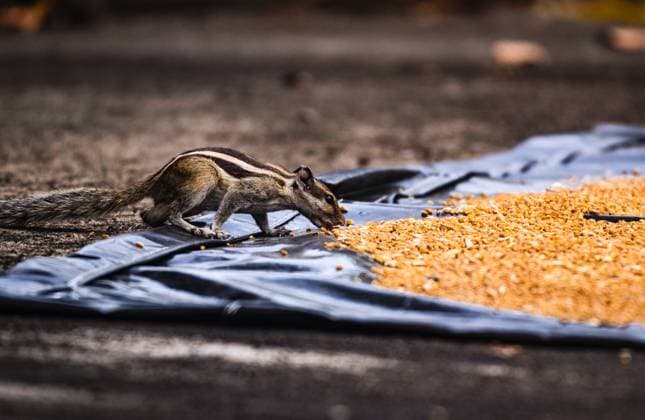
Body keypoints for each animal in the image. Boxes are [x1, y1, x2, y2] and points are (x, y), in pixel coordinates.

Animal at [0, 147, 346, 239]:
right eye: (329, 198)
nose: (342, 223)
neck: (285, 186)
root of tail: (157, 178)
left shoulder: (258, 207)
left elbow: (262, 223)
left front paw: (275, 232)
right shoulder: (241, 192)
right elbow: (228, 209)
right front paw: (218, 230)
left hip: (192, 198)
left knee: (151, 214)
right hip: (200, 184)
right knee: (173, 213)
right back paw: (196, 229)